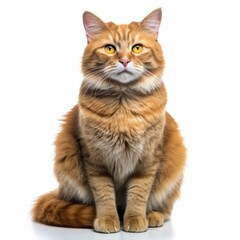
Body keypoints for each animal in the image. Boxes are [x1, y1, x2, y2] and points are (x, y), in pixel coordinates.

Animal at [31, 8, 186, 232]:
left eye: (137, 48)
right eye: (110, 49)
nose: (124, 61)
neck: (123, 104)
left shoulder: (147, 160)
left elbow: (139, 193)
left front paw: (135, 218)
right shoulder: (95, 160)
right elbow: (103, 194)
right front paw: (107, 219)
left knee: (164, 208)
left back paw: (153, 215)